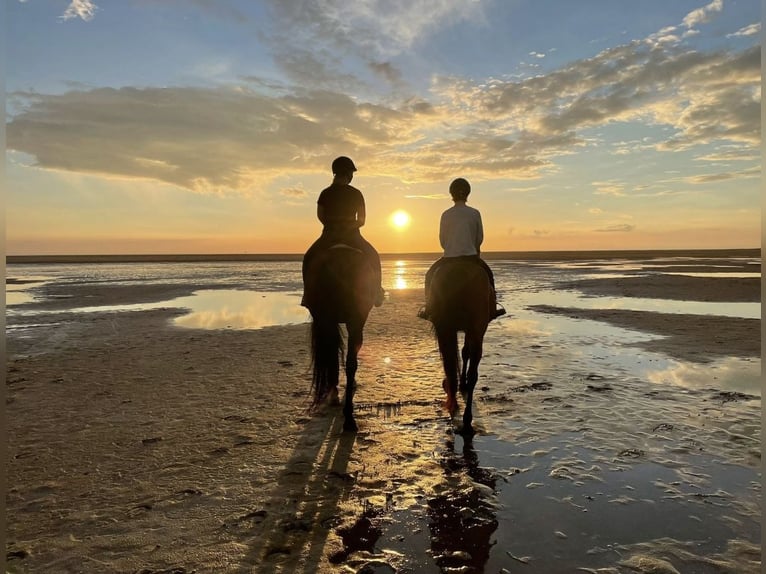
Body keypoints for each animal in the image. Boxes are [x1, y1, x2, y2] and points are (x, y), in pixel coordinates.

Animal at [428, 258, 496, 434]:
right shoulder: (472, 330)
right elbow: (466, 352)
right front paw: (462, 383)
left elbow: (463, 353)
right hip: (476, 329)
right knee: (473, 372)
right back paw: (467, 418)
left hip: (446, 328)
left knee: (450, 364)